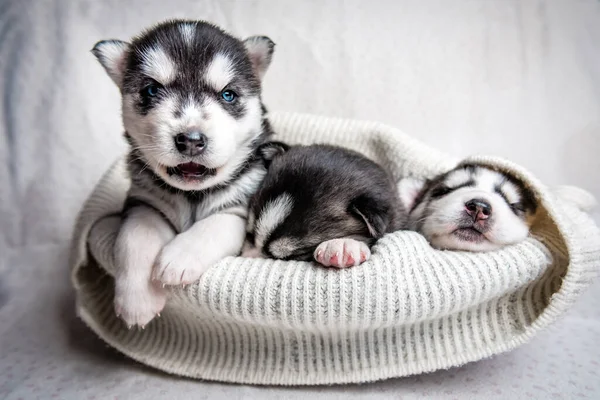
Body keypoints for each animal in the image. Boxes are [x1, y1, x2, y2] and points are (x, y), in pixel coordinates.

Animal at [93, 19, 276, 328]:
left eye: (228, 94)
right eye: (152, 91)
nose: (191, 139)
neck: (192, 195)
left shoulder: (238, 210)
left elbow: (212, 226)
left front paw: (178, 258)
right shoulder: (145, 204)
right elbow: (135, 237)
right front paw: (137, 300)